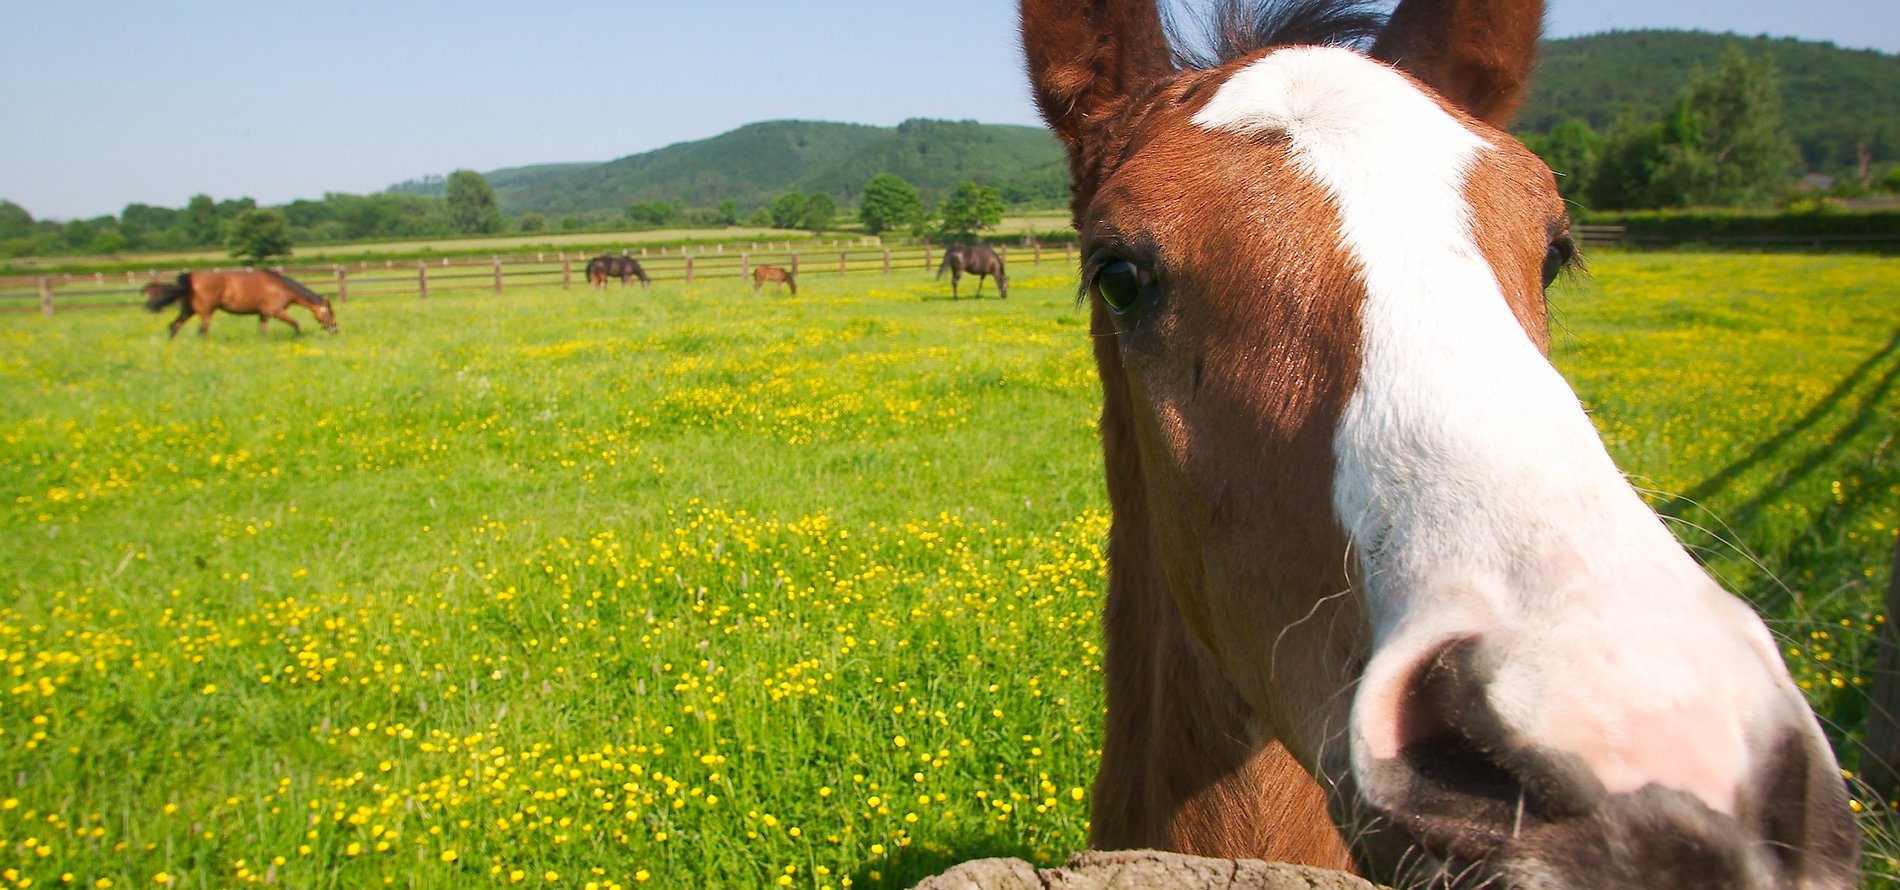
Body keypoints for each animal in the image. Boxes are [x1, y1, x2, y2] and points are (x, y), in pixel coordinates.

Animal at [143, 270, 337, 339]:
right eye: (330, 313)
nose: (335, 329)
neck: (280, 286)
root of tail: (190, 276)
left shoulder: (264, 314)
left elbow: (262, 332)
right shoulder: (276, 312)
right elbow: (296, 324)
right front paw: (297, 337)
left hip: (188, 310)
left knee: (174, 326)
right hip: (206, 313)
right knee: (202, 332)